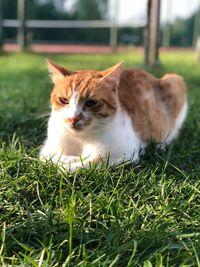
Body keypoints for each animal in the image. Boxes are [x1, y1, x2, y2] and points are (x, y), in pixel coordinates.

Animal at [39, 59, 188, 173]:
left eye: (91, 102)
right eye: (64, 100)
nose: (73, 118)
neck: (80, 139)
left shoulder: (124, 154)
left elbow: (91, 161)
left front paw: (70, 165)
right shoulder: (47, 149)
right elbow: (51, 157)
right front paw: (69, 159)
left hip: (175, 81)